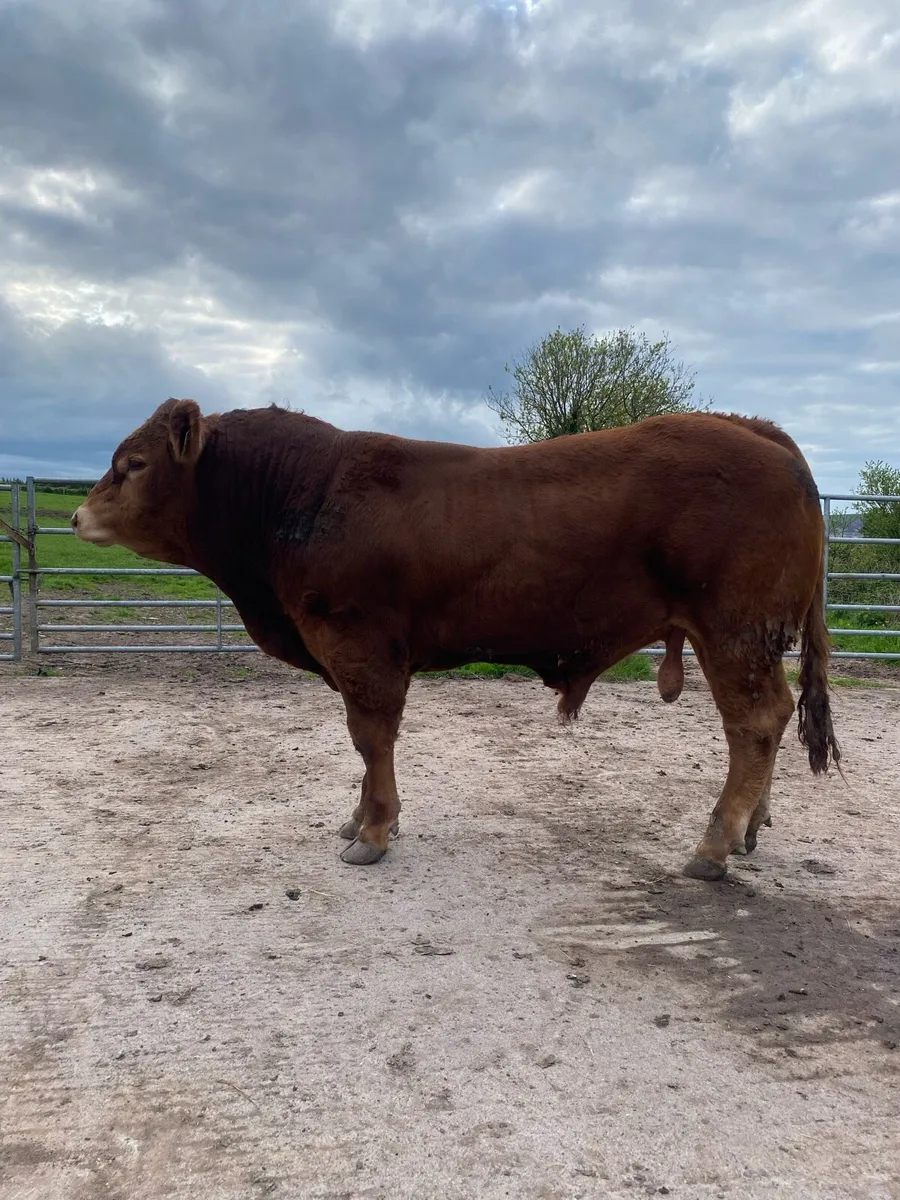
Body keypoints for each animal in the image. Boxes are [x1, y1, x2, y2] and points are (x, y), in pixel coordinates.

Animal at [72, 399, 840, 880]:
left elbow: (370, 737)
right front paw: (360, 820)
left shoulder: (359, 646)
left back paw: (713, 844)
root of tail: (754, 429)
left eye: (134, 464)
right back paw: (749, 828)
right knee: (767, 723)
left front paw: (374, 832)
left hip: (734, 631)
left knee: (755, 722)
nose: (78, 516)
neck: (302, 497)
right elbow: (366, 744)